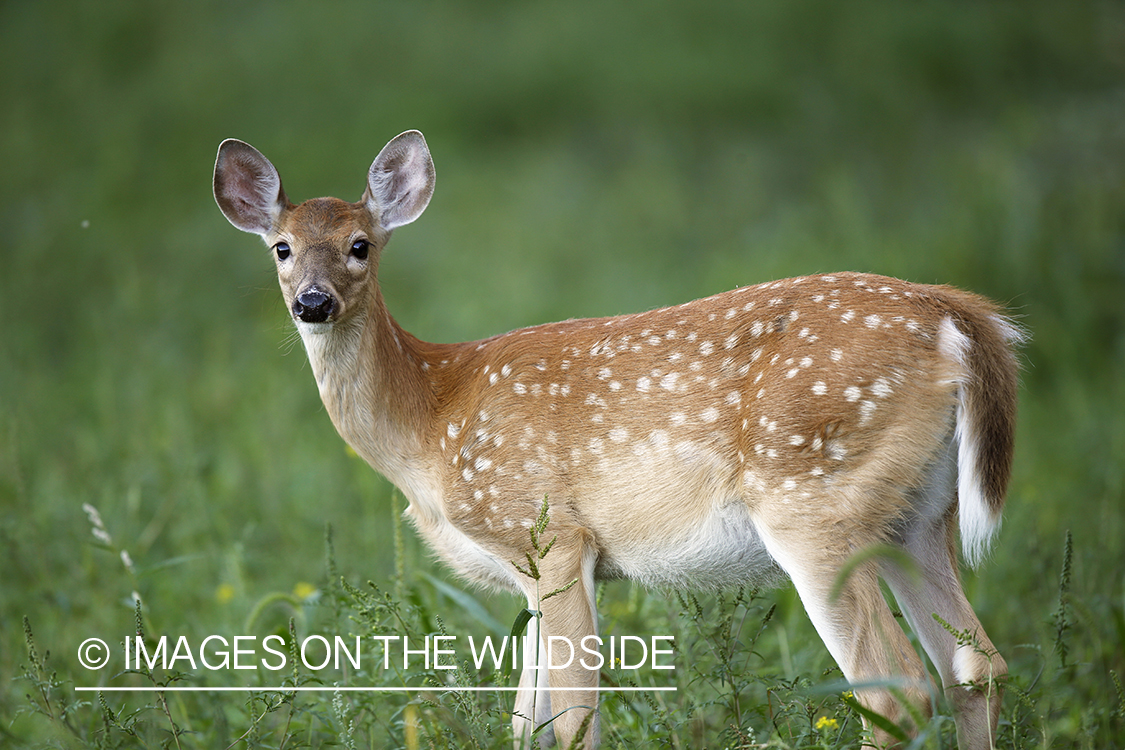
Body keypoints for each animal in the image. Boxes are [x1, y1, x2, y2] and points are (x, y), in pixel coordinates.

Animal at [214, 130, 1022, 749]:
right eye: (281, 248)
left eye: (360, 245)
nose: (313, 302)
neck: (432, 419)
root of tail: (956, 316)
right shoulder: (529, 568)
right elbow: (525, 726)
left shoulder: (549, 533)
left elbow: (574, 721)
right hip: (918, 513)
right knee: (973, 667)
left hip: (811, 499)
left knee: (895, 689)